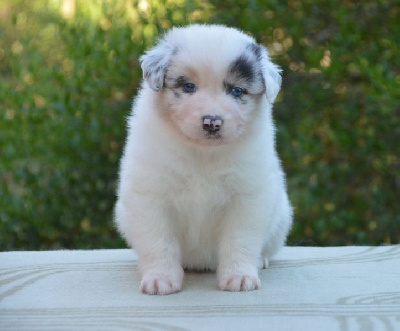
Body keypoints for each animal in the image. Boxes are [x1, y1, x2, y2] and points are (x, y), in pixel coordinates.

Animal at [114, 25, 292, 296]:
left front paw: (239, 276)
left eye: (237, 91)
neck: (203, 154)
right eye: (189, 87)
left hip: (281, 218)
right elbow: (158, 240)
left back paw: (260, 260)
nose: (212, 122)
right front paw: (160, 279)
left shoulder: (248, 197)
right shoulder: (150, 195)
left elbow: (239, 239)